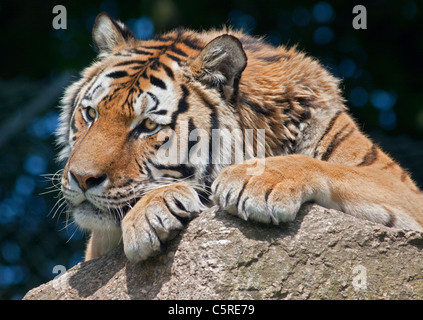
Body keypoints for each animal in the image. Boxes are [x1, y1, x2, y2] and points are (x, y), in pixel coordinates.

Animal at [56, 12, 423, 262]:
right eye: (91, 114)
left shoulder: (399, 185)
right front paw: (151, 211)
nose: (81, 178)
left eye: (147, 126)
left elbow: (329, 167)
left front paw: (254, 180)